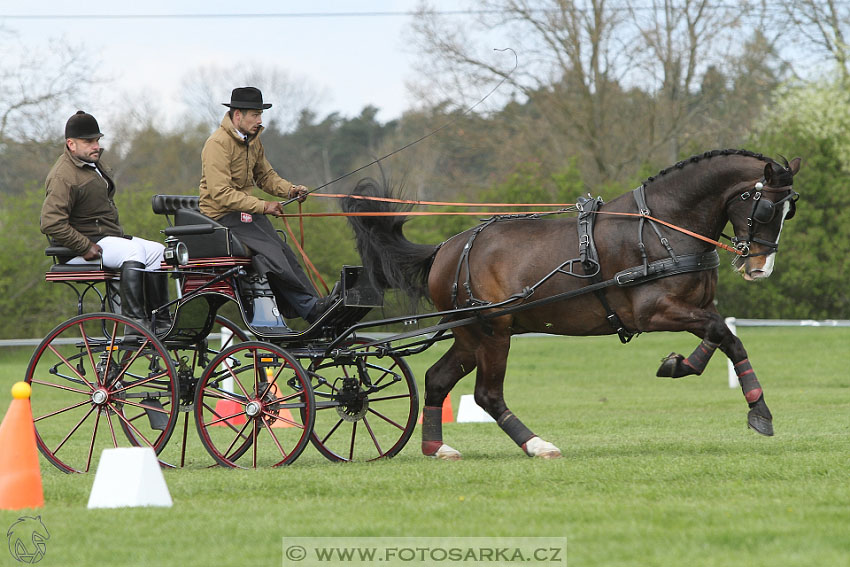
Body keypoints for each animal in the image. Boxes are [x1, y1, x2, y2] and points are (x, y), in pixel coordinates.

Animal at [342, 151, 800, 462]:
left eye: (788, 210)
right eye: (765, 206)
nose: (759, 268)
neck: (661, 227)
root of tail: (447, 249)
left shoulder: (693, 307)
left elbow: (724, 338)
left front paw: (748, 404)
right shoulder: (653, 312)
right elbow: (720, 333)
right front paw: (691, 372)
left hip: (470, 334)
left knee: (437, 379)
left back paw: (437, 447)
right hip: (494, 332)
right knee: (488, 394)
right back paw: (536, 444)